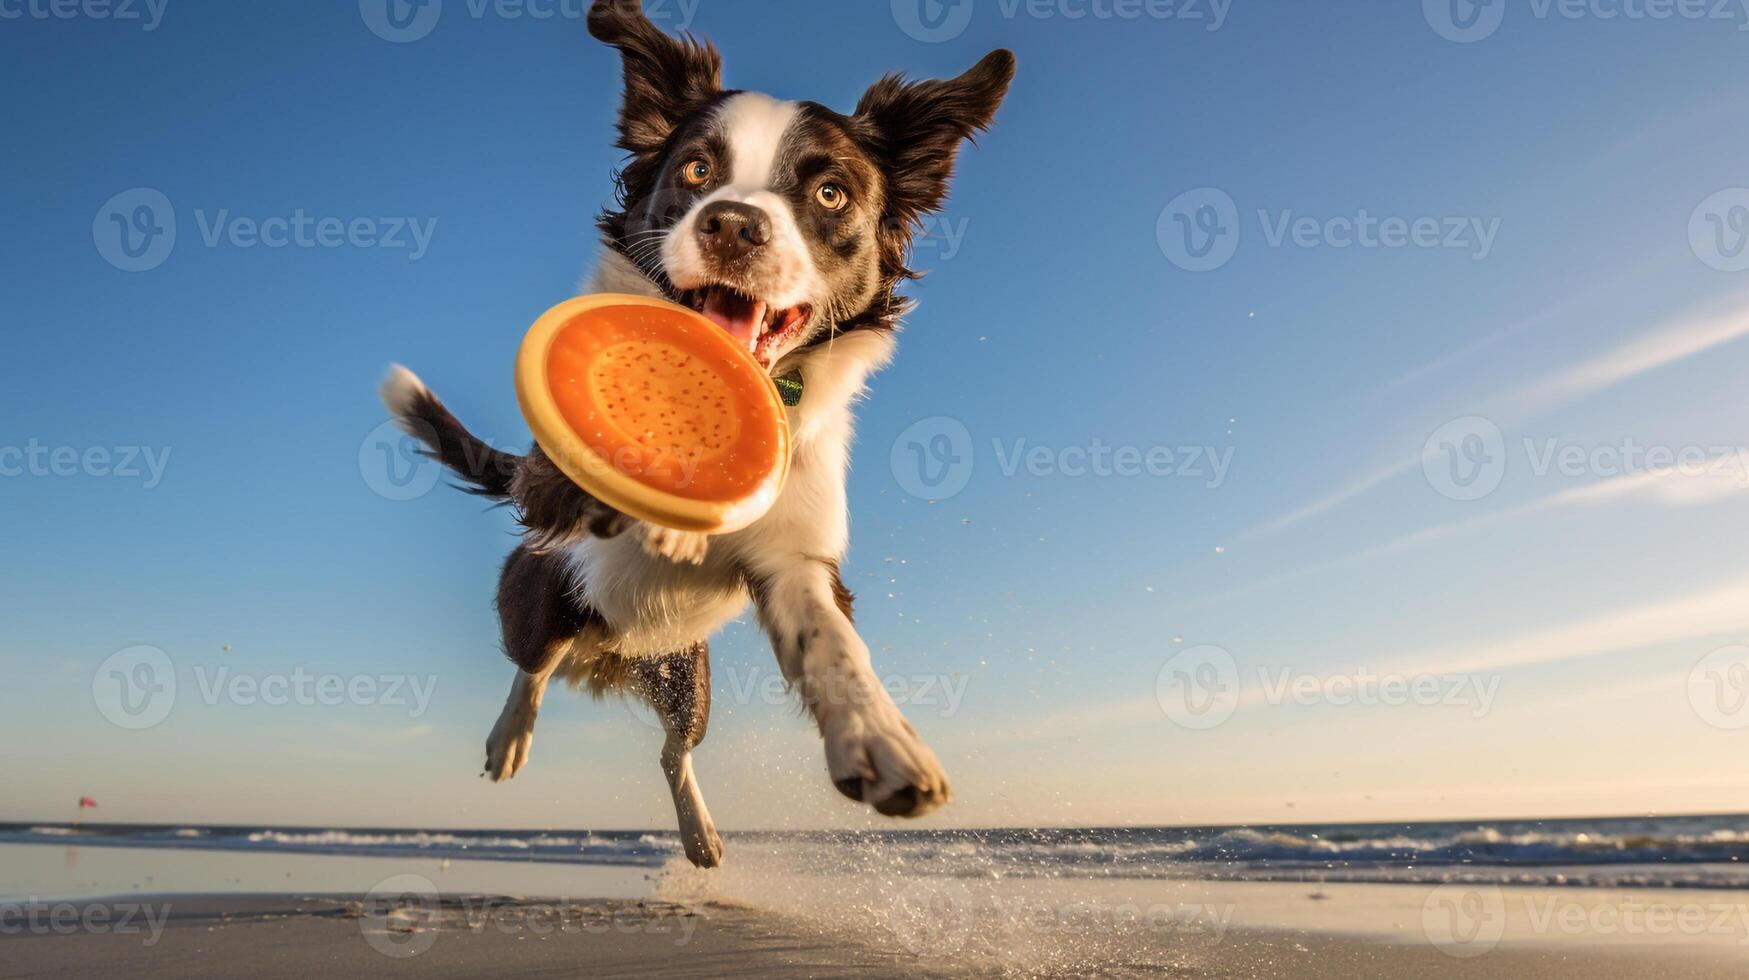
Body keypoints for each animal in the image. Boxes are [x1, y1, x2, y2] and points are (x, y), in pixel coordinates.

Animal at [377, 0, 1021, 864]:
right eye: (694, 171)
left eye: (829, 193)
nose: (734, 225)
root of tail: (607, 659)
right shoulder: (561, 485)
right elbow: (596, 489)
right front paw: (657, 518)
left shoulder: (795, 560)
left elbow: (834, 646)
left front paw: (881, 742)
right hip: (541, 601)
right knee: (533, 666)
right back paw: (509, 736)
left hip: (689, 679)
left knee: (671, 750)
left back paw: (700, 835)